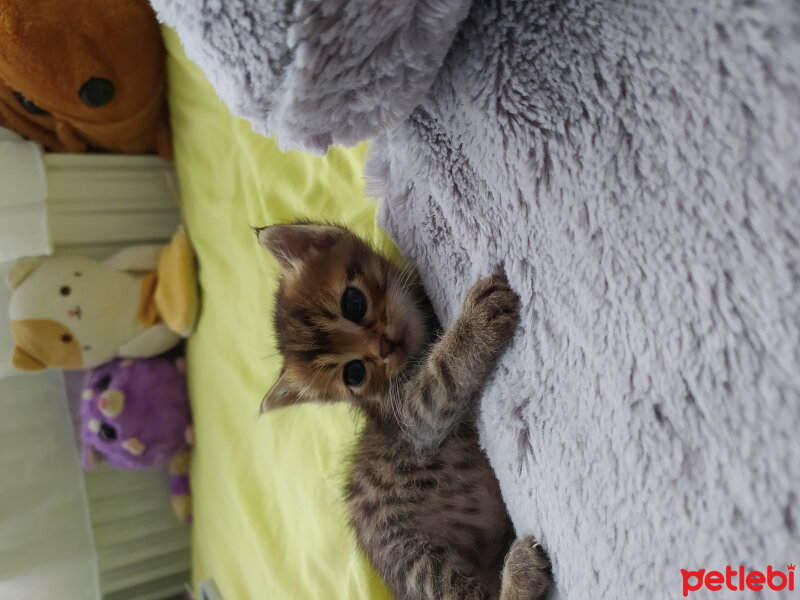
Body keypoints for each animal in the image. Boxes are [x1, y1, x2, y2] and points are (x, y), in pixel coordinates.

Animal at [260, 223, 552, 596]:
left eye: (353, 303)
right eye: (355, 373)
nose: (385, 345)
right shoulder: (412, 419)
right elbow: (441, 374)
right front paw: (474, 325)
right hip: (416, 559)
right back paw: (520, 575)